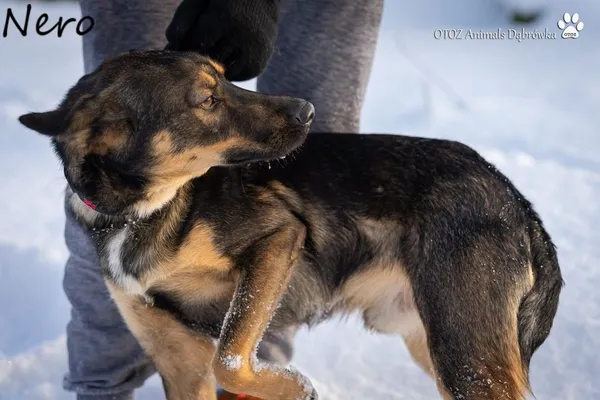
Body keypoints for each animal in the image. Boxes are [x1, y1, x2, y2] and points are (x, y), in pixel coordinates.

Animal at [17, 50, 564, 400]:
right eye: (207, 100)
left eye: (227, 77)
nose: (308, 110)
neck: (145, 212)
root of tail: (516, 202)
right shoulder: (176, 359)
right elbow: (220, 361)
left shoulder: (279, 238)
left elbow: (230, 358)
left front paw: (292, 387)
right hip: (437, 343)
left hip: (463, 354)